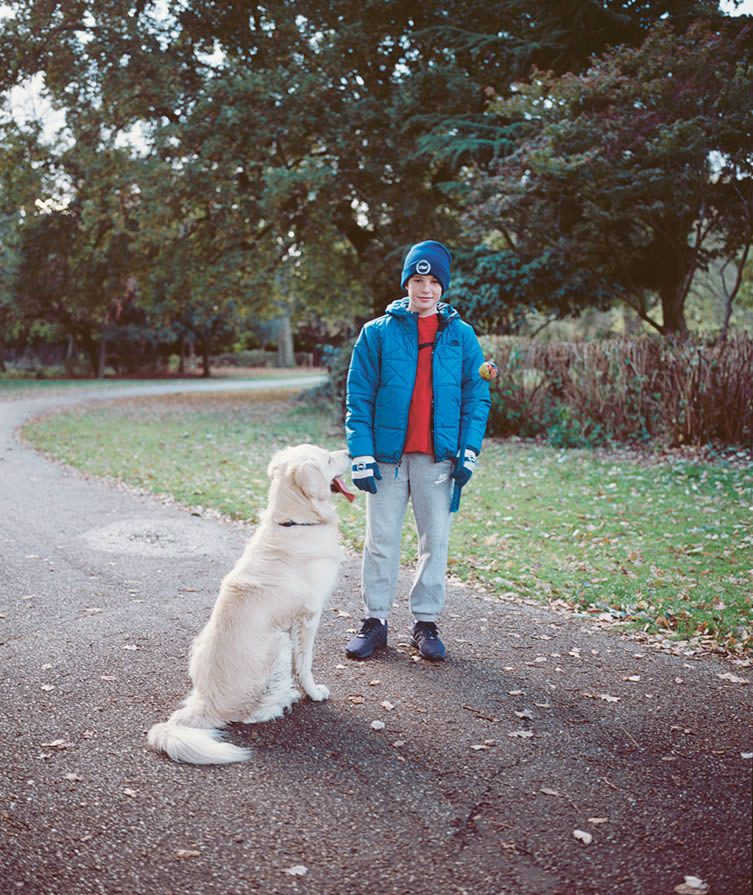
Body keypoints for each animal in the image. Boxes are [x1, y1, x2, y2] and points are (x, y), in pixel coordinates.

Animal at [150, 444, 356, 768]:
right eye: (328, 458)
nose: (349, 450)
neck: (294, 523)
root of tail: (206, 703)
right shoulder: (309, 617)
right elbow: (305, 664)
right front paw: (313, 692)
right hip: (277, 643)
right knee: (249, 715)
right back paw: (283, 700)